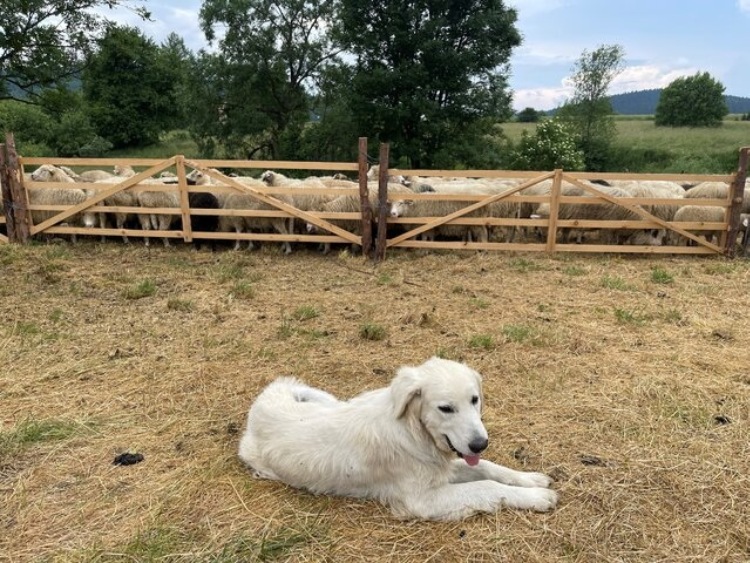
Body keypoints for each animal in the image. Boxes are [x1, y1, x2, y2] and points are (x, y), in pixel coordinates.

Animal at [238, 360, 560, 524]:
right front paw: (536, 498)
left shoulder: (441, 467)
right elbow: (487, 486)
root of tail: (265, 397)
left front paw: (530, 479)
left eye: (474, 400)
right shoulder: (422, 499)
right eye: (446, 408)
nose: (480, 444)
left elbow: (489, 468)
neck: (413, 430)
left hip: (325, 399)